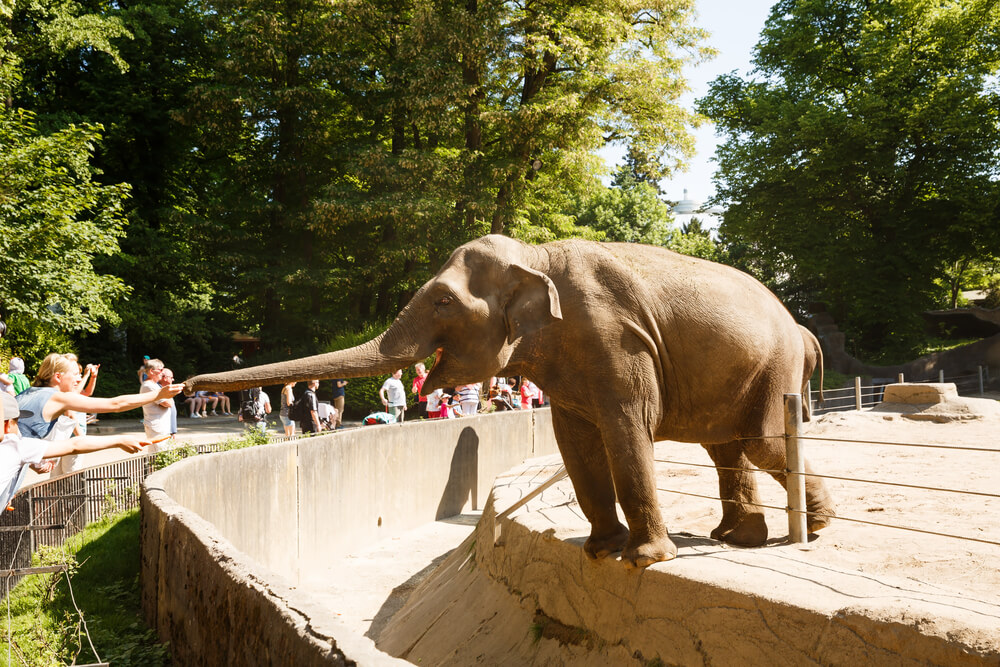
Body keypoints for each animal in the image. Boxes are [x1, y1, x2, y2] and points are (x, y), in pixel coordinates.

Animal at [186, 235, 836, 568]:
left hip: (771, 367)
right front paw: (597, 550)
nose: (188, 386)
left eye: (443, 301)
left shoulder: (616, 342)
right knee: (726, 446)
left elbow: (627, 431)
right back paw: (738, 537)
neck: (537, 255)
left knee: (758, 442)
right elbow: (575, 441)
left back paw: (815, 527)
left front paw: (646, 560)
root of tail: (801, 329)